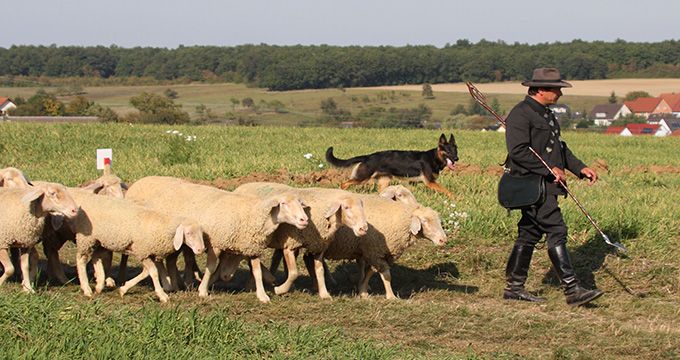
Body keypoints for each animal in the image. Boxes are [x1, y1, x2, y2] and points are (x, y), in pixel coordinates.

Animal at [66, 188, 205, 304]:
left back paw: (100, 284)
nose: (201, 249)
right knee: (81, 260)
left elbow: (146, 273)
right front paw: (162, 295)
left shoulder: (148, 253)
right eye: (188, 233)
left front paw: (123, 289)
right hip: (86, 239)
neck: (161, 226)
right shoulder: (143, 251)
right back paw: (86, 288)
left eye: (201, 233)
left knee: (95, 258)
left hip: (101, 241)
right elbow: (153, 272)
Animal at [124, 176, 308, 302]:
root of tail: (139, 182)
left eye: (300, 204)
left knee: (169, 260)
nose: (304, 220)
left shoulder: (251, 247)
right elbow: (211, 268)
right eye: (283, 203)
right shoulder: (216, 243)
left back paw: (175, 283)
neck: (250, 214)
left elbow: (256, 272)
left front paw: (262, 296)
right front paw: (203, 291)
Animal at [232, 183, 370, 298]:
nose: (363, 228)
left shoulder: (318, 246)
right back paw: (267, 279)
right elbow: (294, 273)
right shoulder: (289, 245)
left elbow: (319, 271)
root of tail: (241, 186)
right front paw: (280, 289)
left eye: (362, 207)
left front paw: (324, 294)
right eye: (346, 207)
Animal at [326, 134, 460, 198]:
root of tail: (368, 156)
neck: (434, 157)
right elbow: (446, 190)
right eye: (448, 151)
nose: (456, 159)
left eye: (455, 151)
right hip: (362, 178)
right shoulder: (430, 182)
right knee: (344, 184)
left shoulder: (415, 182)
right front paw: (457, 198)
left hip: (383, 182)